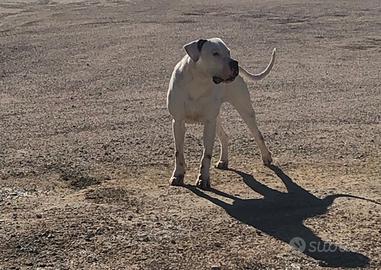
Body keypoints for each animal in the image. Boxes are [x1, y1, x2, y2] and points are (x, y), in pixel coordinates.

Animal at [166, 38, 274, 189]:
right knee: (224, 136)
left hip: (244, 110)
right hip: (216, 119)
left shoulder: (209, 123)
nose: (235, 63)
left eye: (228, 52)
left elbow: (206, 155)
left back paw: (266, 156)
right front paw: (178, 175)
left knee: (257, 134)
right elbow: (178, 152)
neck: (198, 82)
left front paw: (203, 179)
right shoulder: (178, 122)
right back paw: (224, 160)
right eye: (215, 53)